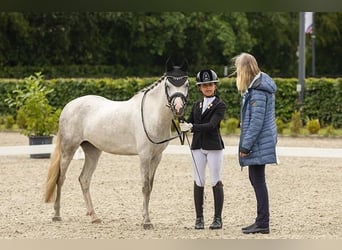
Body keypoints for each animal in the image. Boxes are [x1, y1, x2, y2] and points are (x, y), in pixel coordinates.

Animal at [43, 63, 188, 229]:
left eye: (187, 84)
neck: (151, 115)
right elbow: (145, 187)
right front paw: (146, 222)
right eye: (168, 85)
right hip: (69, 149)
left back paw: (94, 217)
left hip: (93, 151)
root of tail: (69, 106)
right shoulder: (144, 156)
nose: (178, 108)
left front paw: (145, 218)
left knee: (84, 179)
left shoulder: (157, 157)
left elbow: (150, 187)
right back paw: (56, 215)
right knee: (60, 179)